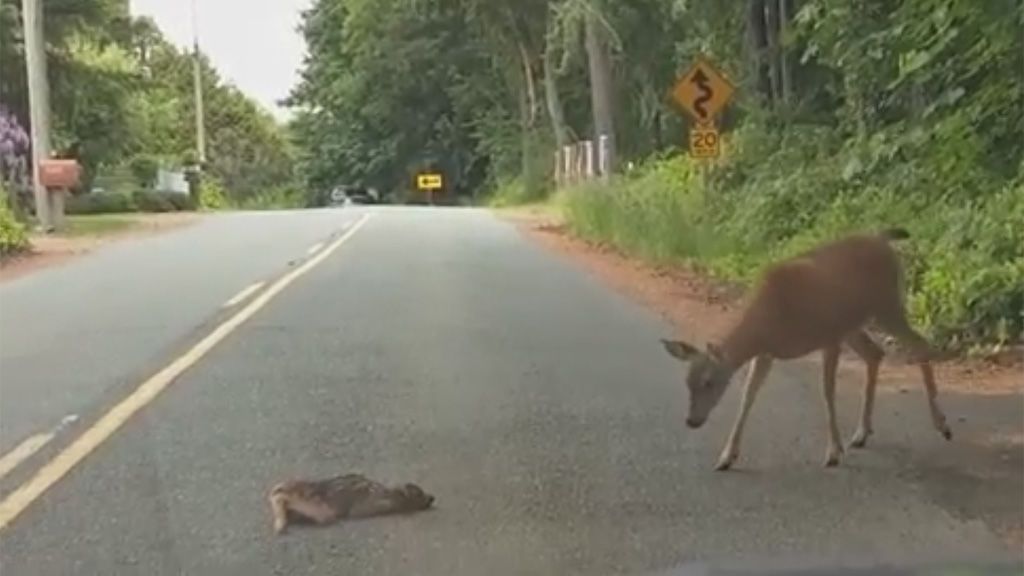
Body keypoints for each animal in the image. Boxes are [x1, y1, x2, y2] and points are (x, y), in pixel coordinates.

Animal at [659, 226, 954, 469]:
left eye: (709, 382)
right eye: (687, 382)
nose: (691, 421)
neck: (766, 321)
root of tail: (883, 239)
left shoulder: (828, 336)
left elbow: (827, 392)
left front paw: (833, 453)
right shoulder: (767, 352)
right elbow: (748, 396)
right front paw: (726, 457)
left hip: (886, 305)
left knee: (920, 344)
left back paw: (942, 425)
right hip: (855, 323)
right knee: (876, 354)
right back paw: (861, 434)